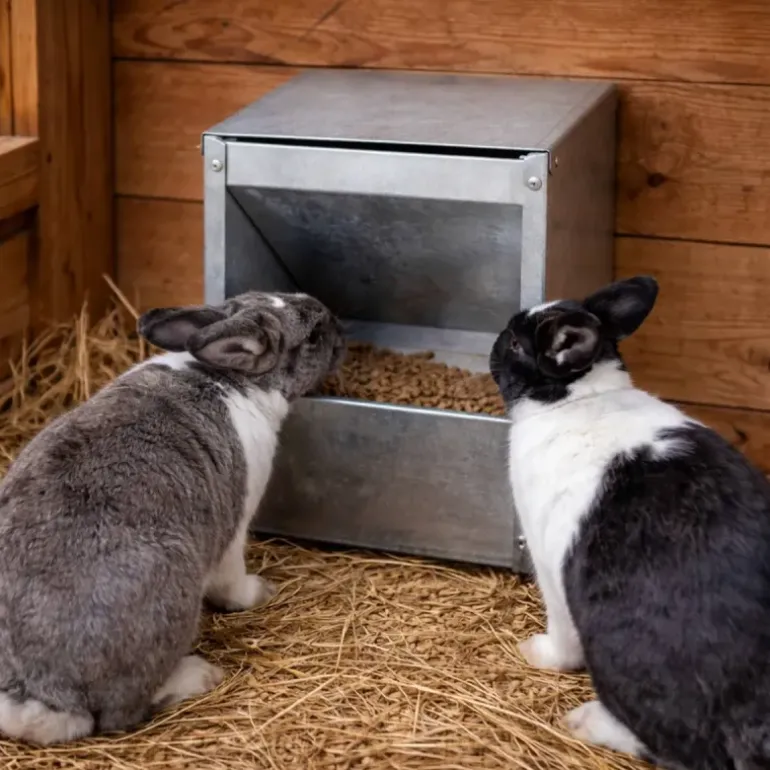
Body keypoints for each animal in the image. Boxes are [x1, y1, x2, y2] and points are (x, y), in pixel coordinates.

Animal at [0, 290, 344, 746]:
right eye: (313, 336)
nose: (343, 331)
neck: (231, 377)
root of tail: (45, 694)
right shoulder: (234, 530)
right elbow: (232, 584)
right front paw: (261, 592)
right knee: (123, 712)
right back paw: (199, 676)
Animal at [489, 275, 770, 770]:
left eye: (516, 343)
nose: (495, 341)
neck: (577, 398)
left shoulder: (549, 567)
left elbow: (561, 637)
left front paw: (536, 652)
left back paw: (586, 721)